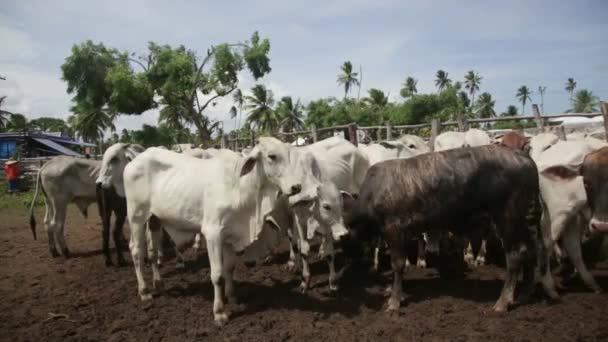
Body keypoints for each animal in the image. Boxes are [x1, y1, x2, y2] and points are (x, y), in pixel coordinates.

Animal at [121, 138, 302, 324]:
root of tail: (136, 159)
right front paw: (220, 312)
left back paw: (159, 284)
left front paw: (232, 297)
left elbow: (229, 268)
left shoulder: (230, 235)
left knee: (153, 252)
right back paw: (144, 291)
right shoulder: (212, 234)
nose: (296, 187)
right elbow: (218, 275)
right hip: (136, 216)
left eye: (288, 154)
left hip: (154, 219)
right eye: (272, 156)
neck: (239, 187)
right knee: (136, 250)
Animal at [342, 144, 552, 312]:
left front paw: (394, 302)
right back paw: (524, 294)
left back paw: (502, 302)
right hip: (526, 222)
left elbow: (398, 264)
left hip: (508, 219)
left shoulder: (393, 229)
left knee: (516, 255)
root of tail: (522, 156)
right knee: (532, 252)